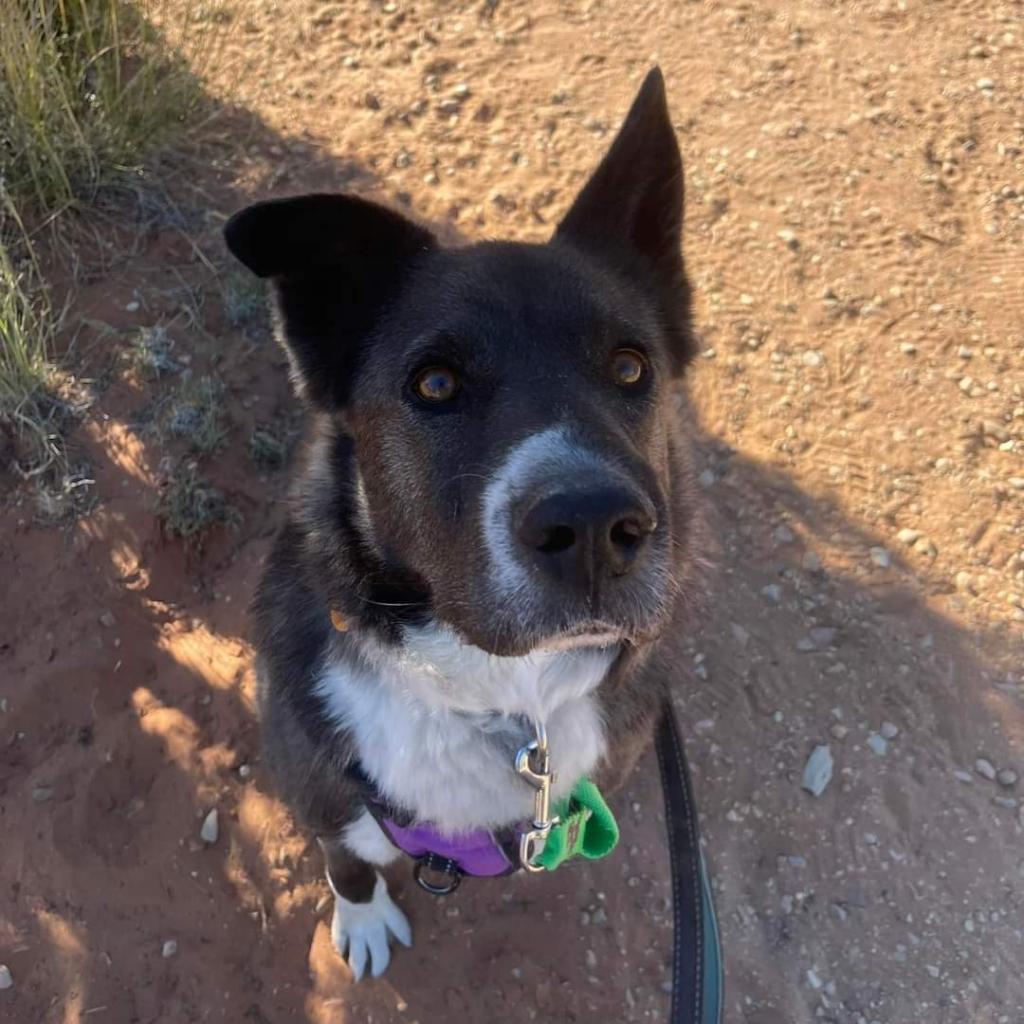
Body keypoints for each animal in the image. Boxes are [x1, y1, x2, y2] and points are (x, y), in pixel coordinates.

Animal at [224, 68, 704, 978]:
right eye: (435, 384)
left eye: (631, 367)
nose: (595, 526)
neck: (504, 696)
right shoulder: (320, 793)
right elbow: (348, 860)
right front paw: (364, 920)